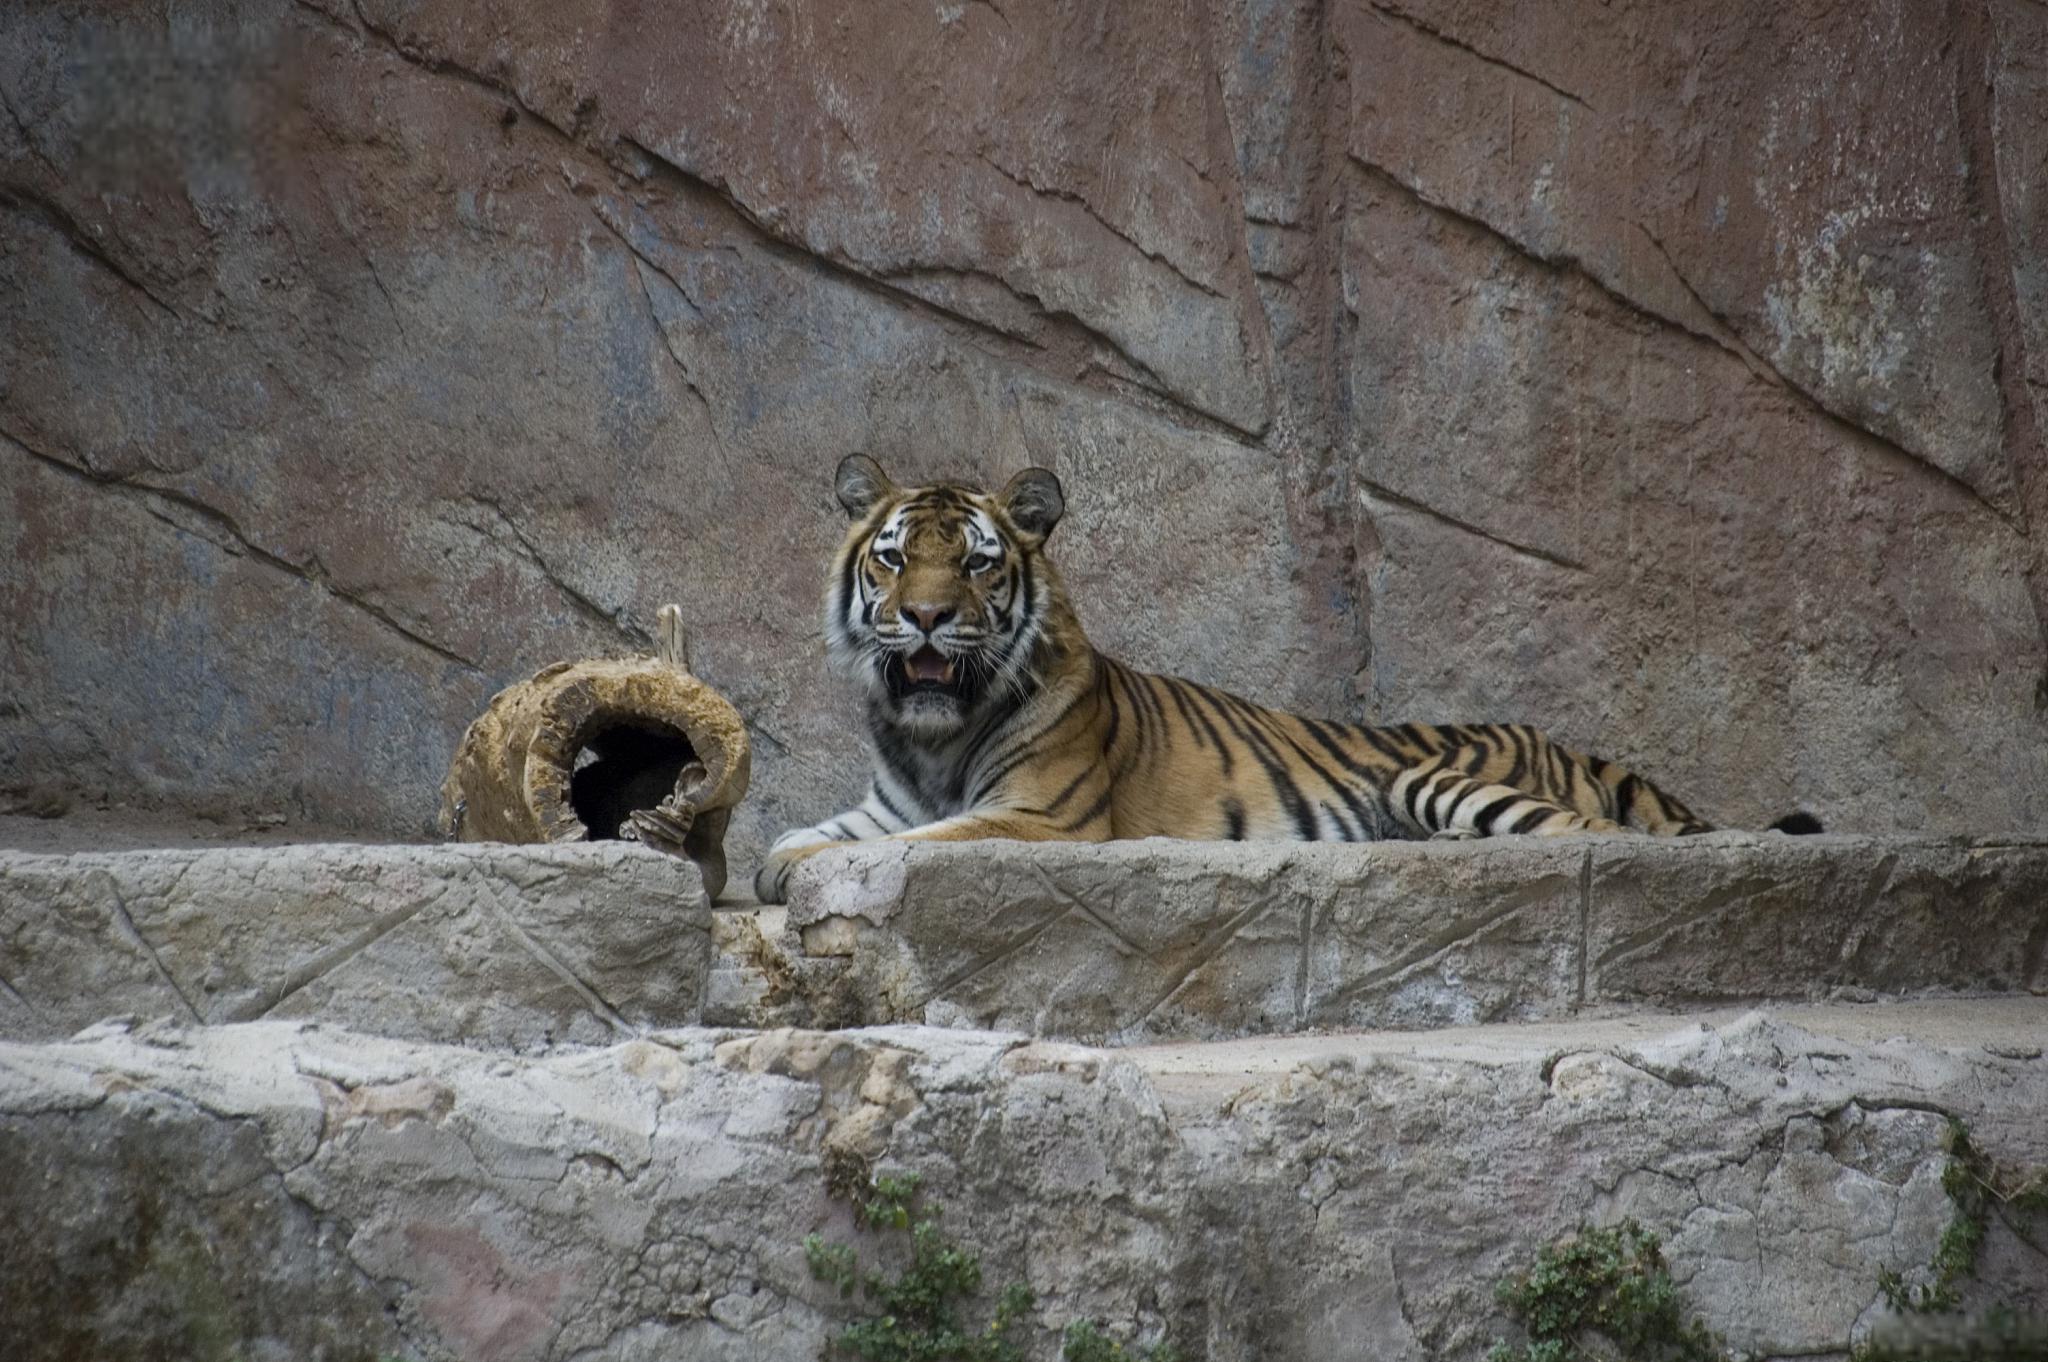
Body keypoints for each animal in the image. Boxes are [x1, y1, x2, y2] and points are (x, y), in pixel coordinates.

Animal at [757, 454, 1826, 901]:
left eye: (978, 565)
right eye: (896, 558)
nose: (928, 616)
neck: (931, 732)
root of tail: (1555, 738)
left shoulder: (1043, 818)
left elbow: (905, 846)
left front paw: (798, 874)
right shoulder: (891, 798)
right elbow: (817, 832)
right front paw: (776, 859)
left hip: (1438, 779)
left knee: (1601, 839)